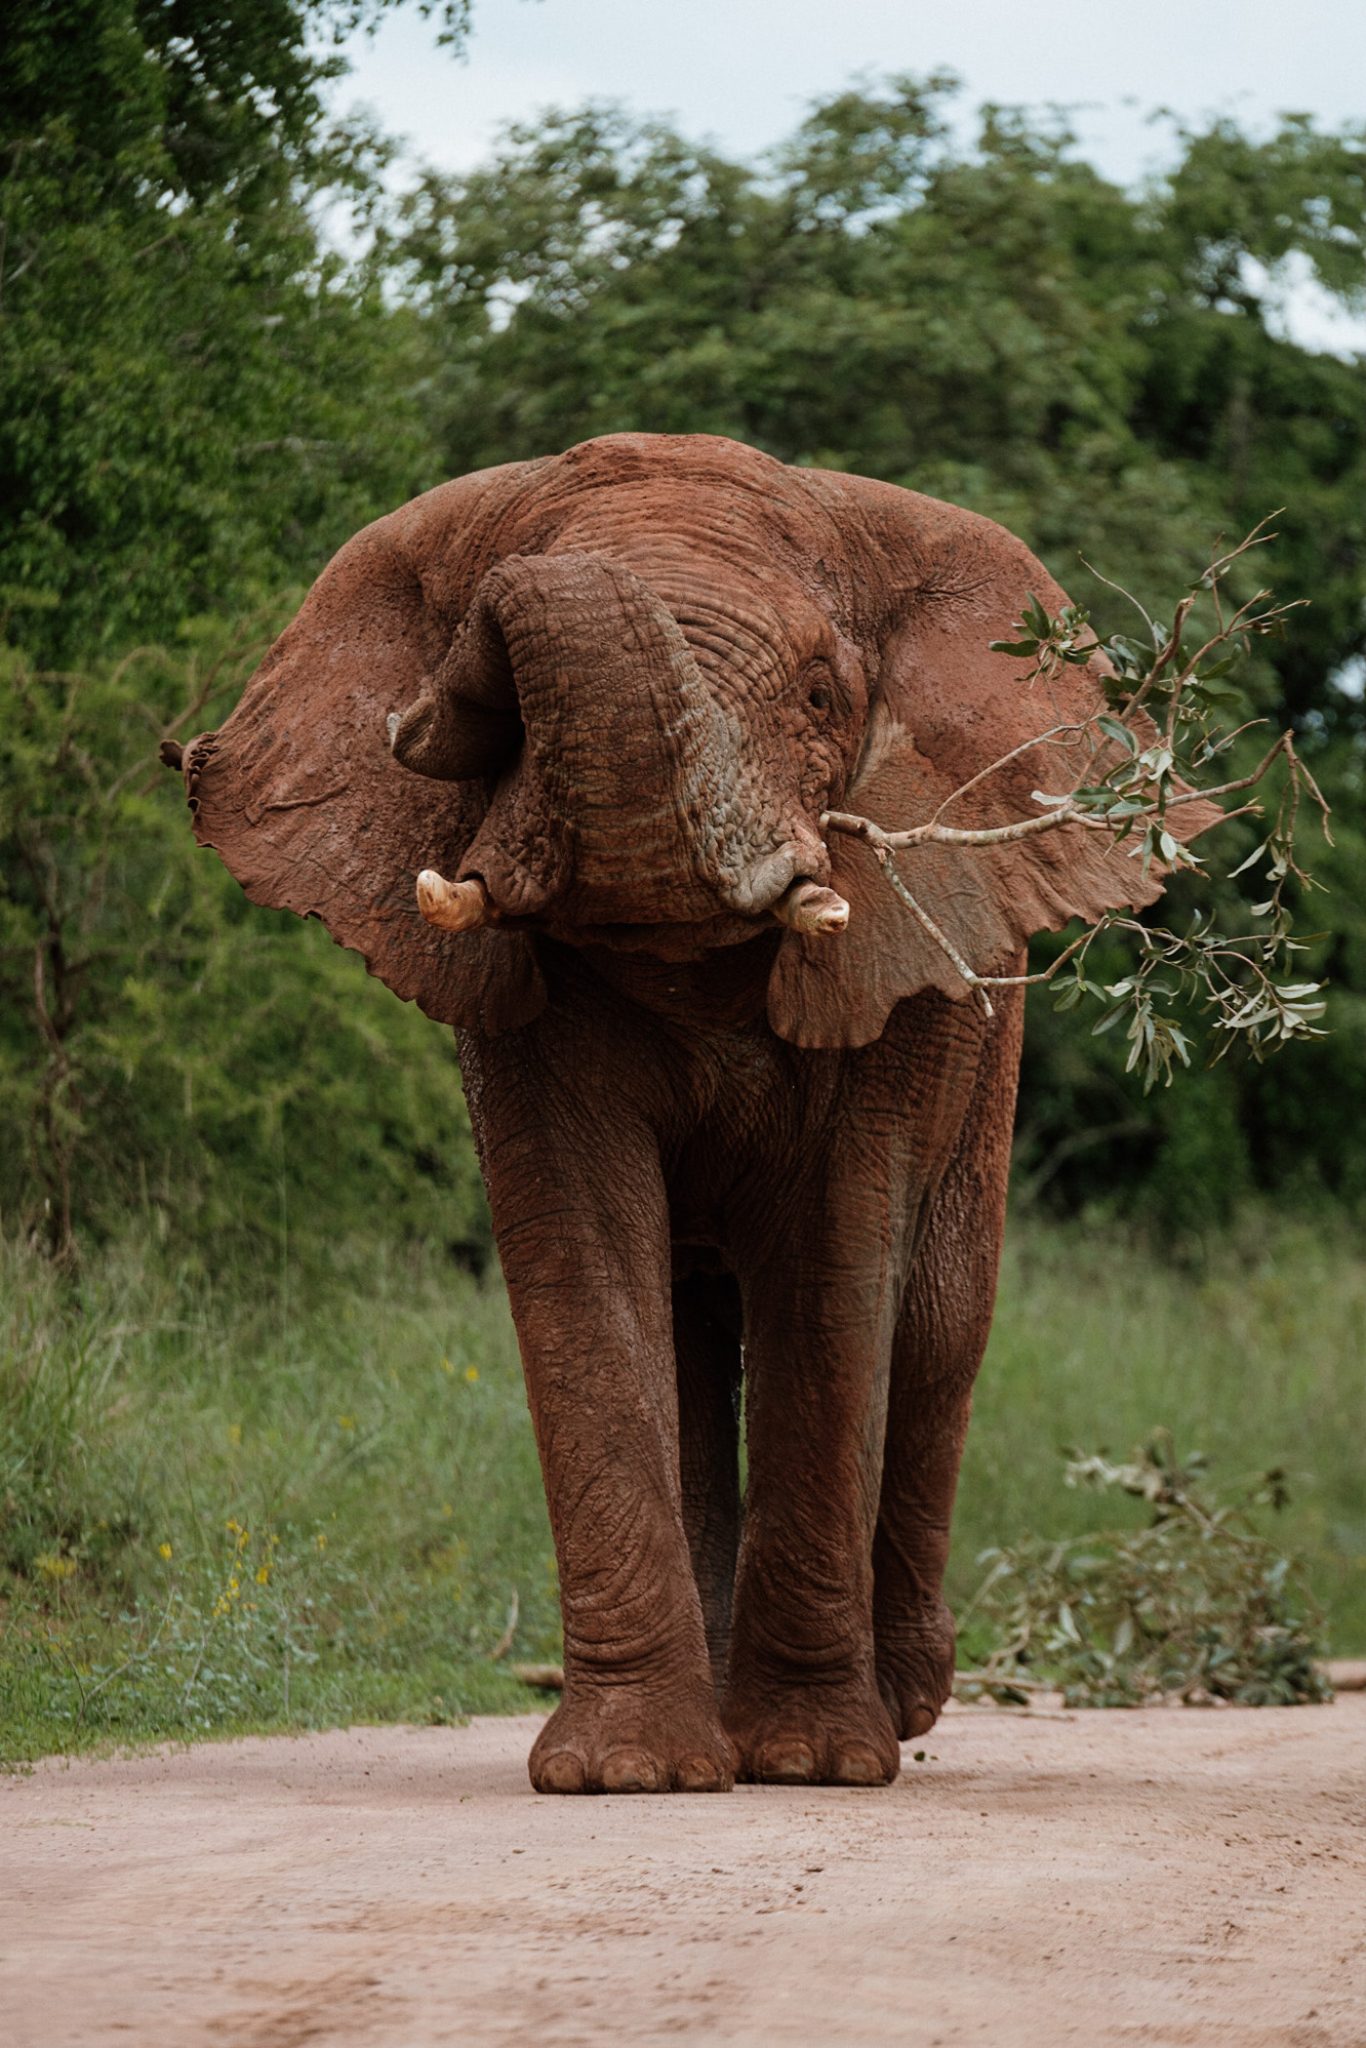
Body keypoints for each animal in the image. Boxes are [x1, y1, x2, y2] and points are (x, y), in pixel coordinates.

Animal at [165, 432, 1204, 1794]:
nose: (421, 712)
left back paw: (901, 1702)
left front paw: (814, 1760)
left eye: (819, 696)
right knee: (694, 1328)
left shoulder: (898, 955)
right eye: (500, 719)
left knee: (937, 1323)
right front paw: (625, 1773)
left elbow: (836, 1268)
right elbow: (585, 1259)